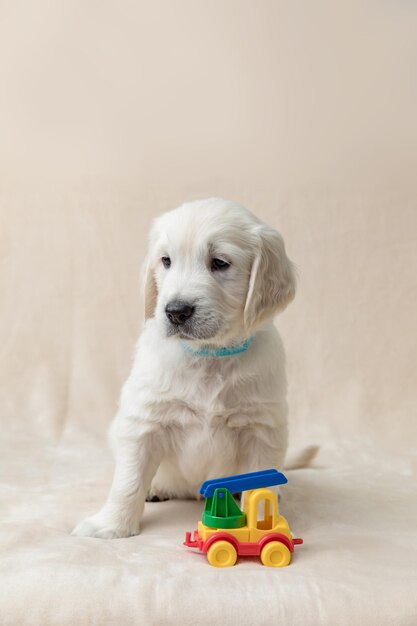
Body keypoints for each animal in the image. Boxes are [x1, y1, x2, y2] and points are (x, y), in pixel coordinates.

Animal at [74, 199, 296, 536]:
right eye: (166, 261)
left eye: (220, 263)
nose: (176, 311)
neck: (209, 356)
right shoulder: (143, 421)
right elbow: (128, 481)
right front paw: (110, 526)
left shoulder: (262, 427)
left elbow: (261, 484)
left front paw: (263, 526)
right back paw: (156, 489)